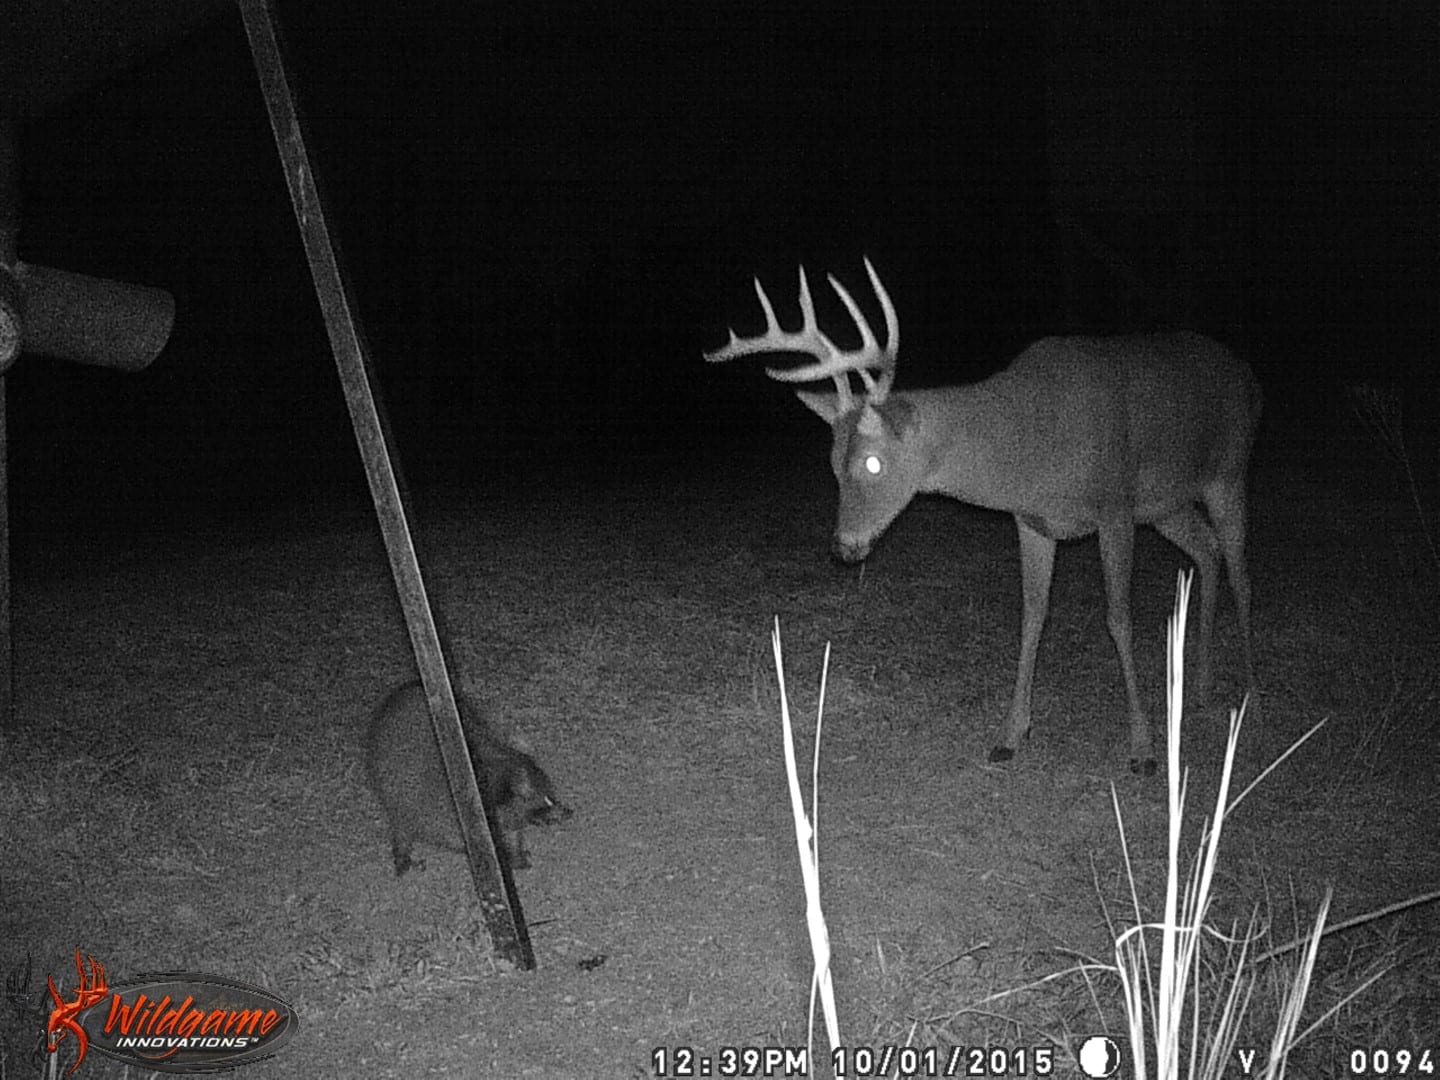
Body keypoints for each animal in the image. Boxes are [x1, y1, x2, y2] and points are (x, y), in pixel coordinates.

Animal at [364, 680, 571, 876]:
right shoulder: (453, 812)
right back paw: (403, 850)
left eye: (551, 797)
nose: (569, 812)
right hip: (389, 786)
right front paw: (509, 857)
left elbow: (512, 833)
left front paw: (516, 852)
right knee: (400, 819)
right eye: (543, 804)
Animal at [704, 259, 1262, 774]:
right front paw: (1010, 736)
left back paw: (1251, 686)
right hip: (1168, 506)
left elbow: (1119, 620)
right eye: (832, 464)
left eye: (873, 462)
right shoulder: (1033, 521)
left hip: (1229, 471)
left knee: (1239, 566)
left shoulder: (1115, 507)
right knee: (1208, 551)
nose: (843, 547)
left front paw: (1143, 749)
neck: (1031, 443)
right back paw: (1203, 684)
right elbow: (1033, 614)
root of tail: (1244, 372)